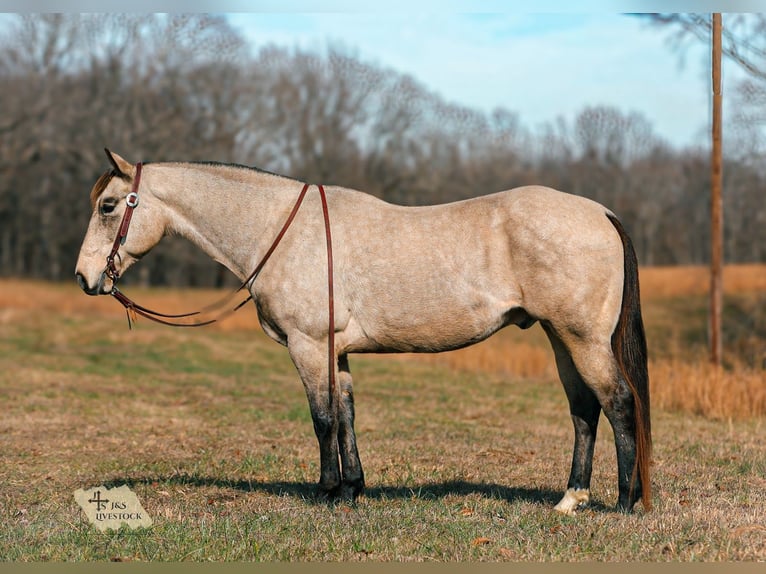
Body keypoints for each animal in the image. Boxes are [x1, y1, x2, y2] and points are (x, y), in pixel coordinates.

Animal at [75, 149, 651, 515]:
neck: (284, 231)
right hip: (560, 337)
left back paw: (624, 502)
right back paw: (571, 498)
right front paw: (354, 489)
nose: (85, 278)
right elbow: (347, 415)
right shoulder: (337, 352)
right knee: (584, 410)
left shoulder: (309, 346)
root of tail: (601, 212)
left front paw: (328, 492)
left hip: (581, 339)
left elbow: (323, 420)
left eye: (109, 206)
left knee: (619, 402)